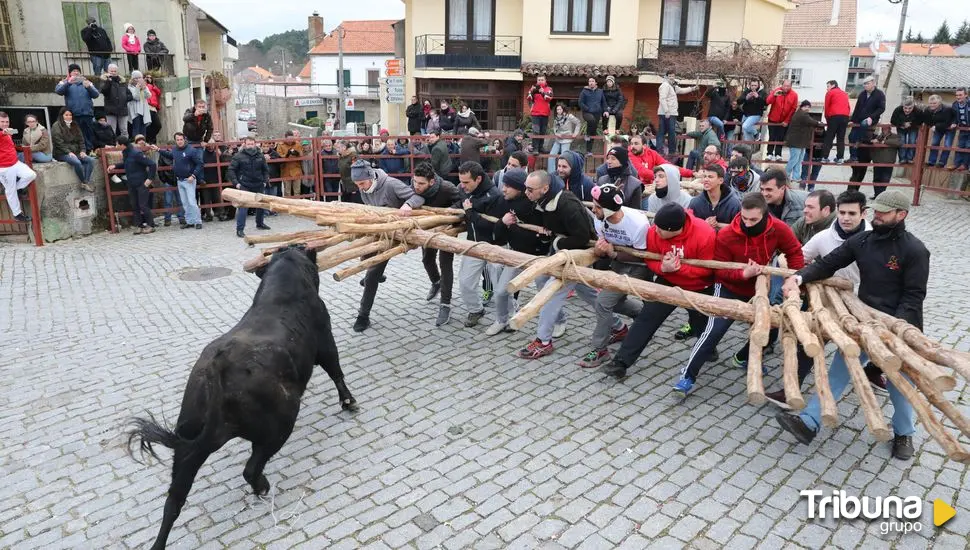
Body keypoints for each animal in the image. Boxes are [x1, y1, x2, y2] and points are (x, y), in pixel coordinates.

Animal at [126, 247, 358, 550]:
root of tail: (218, 365)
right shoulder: (325, 340)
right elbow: (336, 370)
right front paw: (349, 402)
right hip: (281, 422)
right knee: (252, 466)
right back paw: (263, 487)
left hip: (187, 448)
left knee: (173, 501)